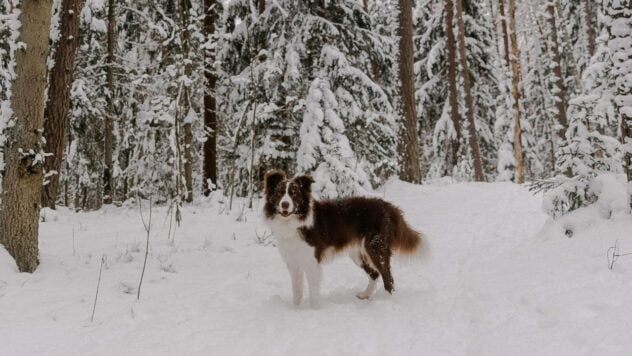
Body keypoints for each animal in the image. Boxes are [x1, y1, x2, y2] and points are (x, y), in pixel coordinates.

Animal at [262, 170, 424, 306]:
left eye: (294, 194)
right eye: (279, 193)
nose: (285, 204)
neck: (294, 221)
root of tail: (387, 206)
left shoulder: (311, 261)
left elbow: (313, 290)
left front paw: (313, 310)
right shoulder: (293, 262)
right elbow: (297, 290)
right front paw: (296, 309)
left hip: (375, 247)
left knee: (387, 275)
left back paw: (387, 301)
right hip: (358, 253)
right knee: (375, 274)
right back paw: (365, 295)